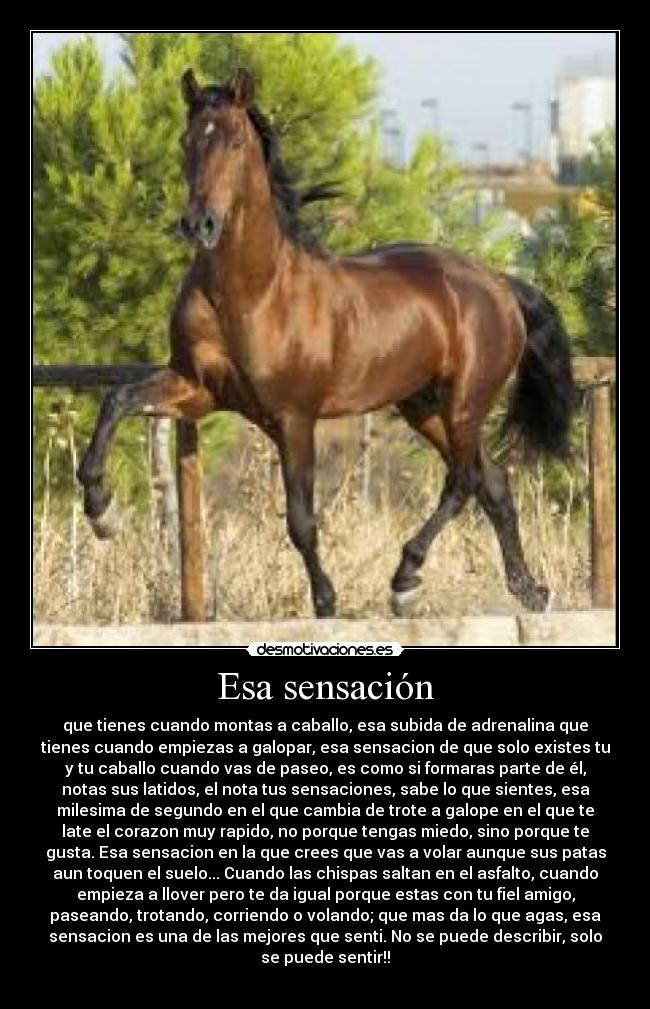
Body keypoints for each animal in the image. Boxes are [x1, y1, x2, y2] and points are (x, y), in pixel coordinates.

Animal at [77, 68, 577, 619]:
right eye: (186, 141)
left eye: (234, 141)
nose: (199, 224)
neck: (252, 292)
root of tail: (500, 284)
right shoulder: (197, 389)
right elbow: (117, 400)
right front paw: (101, 512)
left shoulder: (294, 418)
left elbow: (301, 520)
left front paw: (326, 601)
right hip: (423, 405)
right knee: (493, 483)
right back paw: (529, 590)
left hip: (466, 402)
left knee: (464, 480)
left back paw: (406, 579)